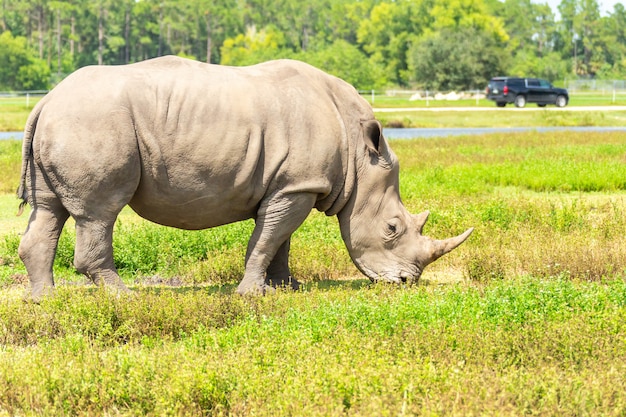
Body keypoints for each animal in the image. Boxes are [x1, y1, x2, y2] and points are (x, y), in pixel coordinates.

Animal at [17, 56, 470, 300]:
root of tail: (46, 99)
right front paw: (253, 294)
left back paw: (45, 301)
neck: (359, 155)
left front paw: (289, 288)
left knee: (49, 210)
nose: (406, 282)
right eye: (392, 229)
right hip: (91, 123)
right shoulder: (298, 185)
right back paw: (124, 297)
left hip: (67, 121)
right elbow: (267, 239)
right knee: (100, 212)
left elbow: (280, 239)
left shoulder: (292, 184)